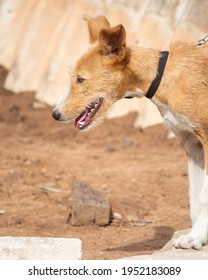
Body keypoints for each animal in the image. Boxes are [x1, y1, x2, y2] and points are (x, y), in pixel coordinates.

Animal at [52, 15, 208, 249]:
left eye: (80, 79)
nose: (55, 114)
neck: (161, 77)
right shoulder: (192, 146)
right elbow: (194, 200)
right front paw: (199, 235)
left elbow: (203, 198)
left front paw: (195, 237)